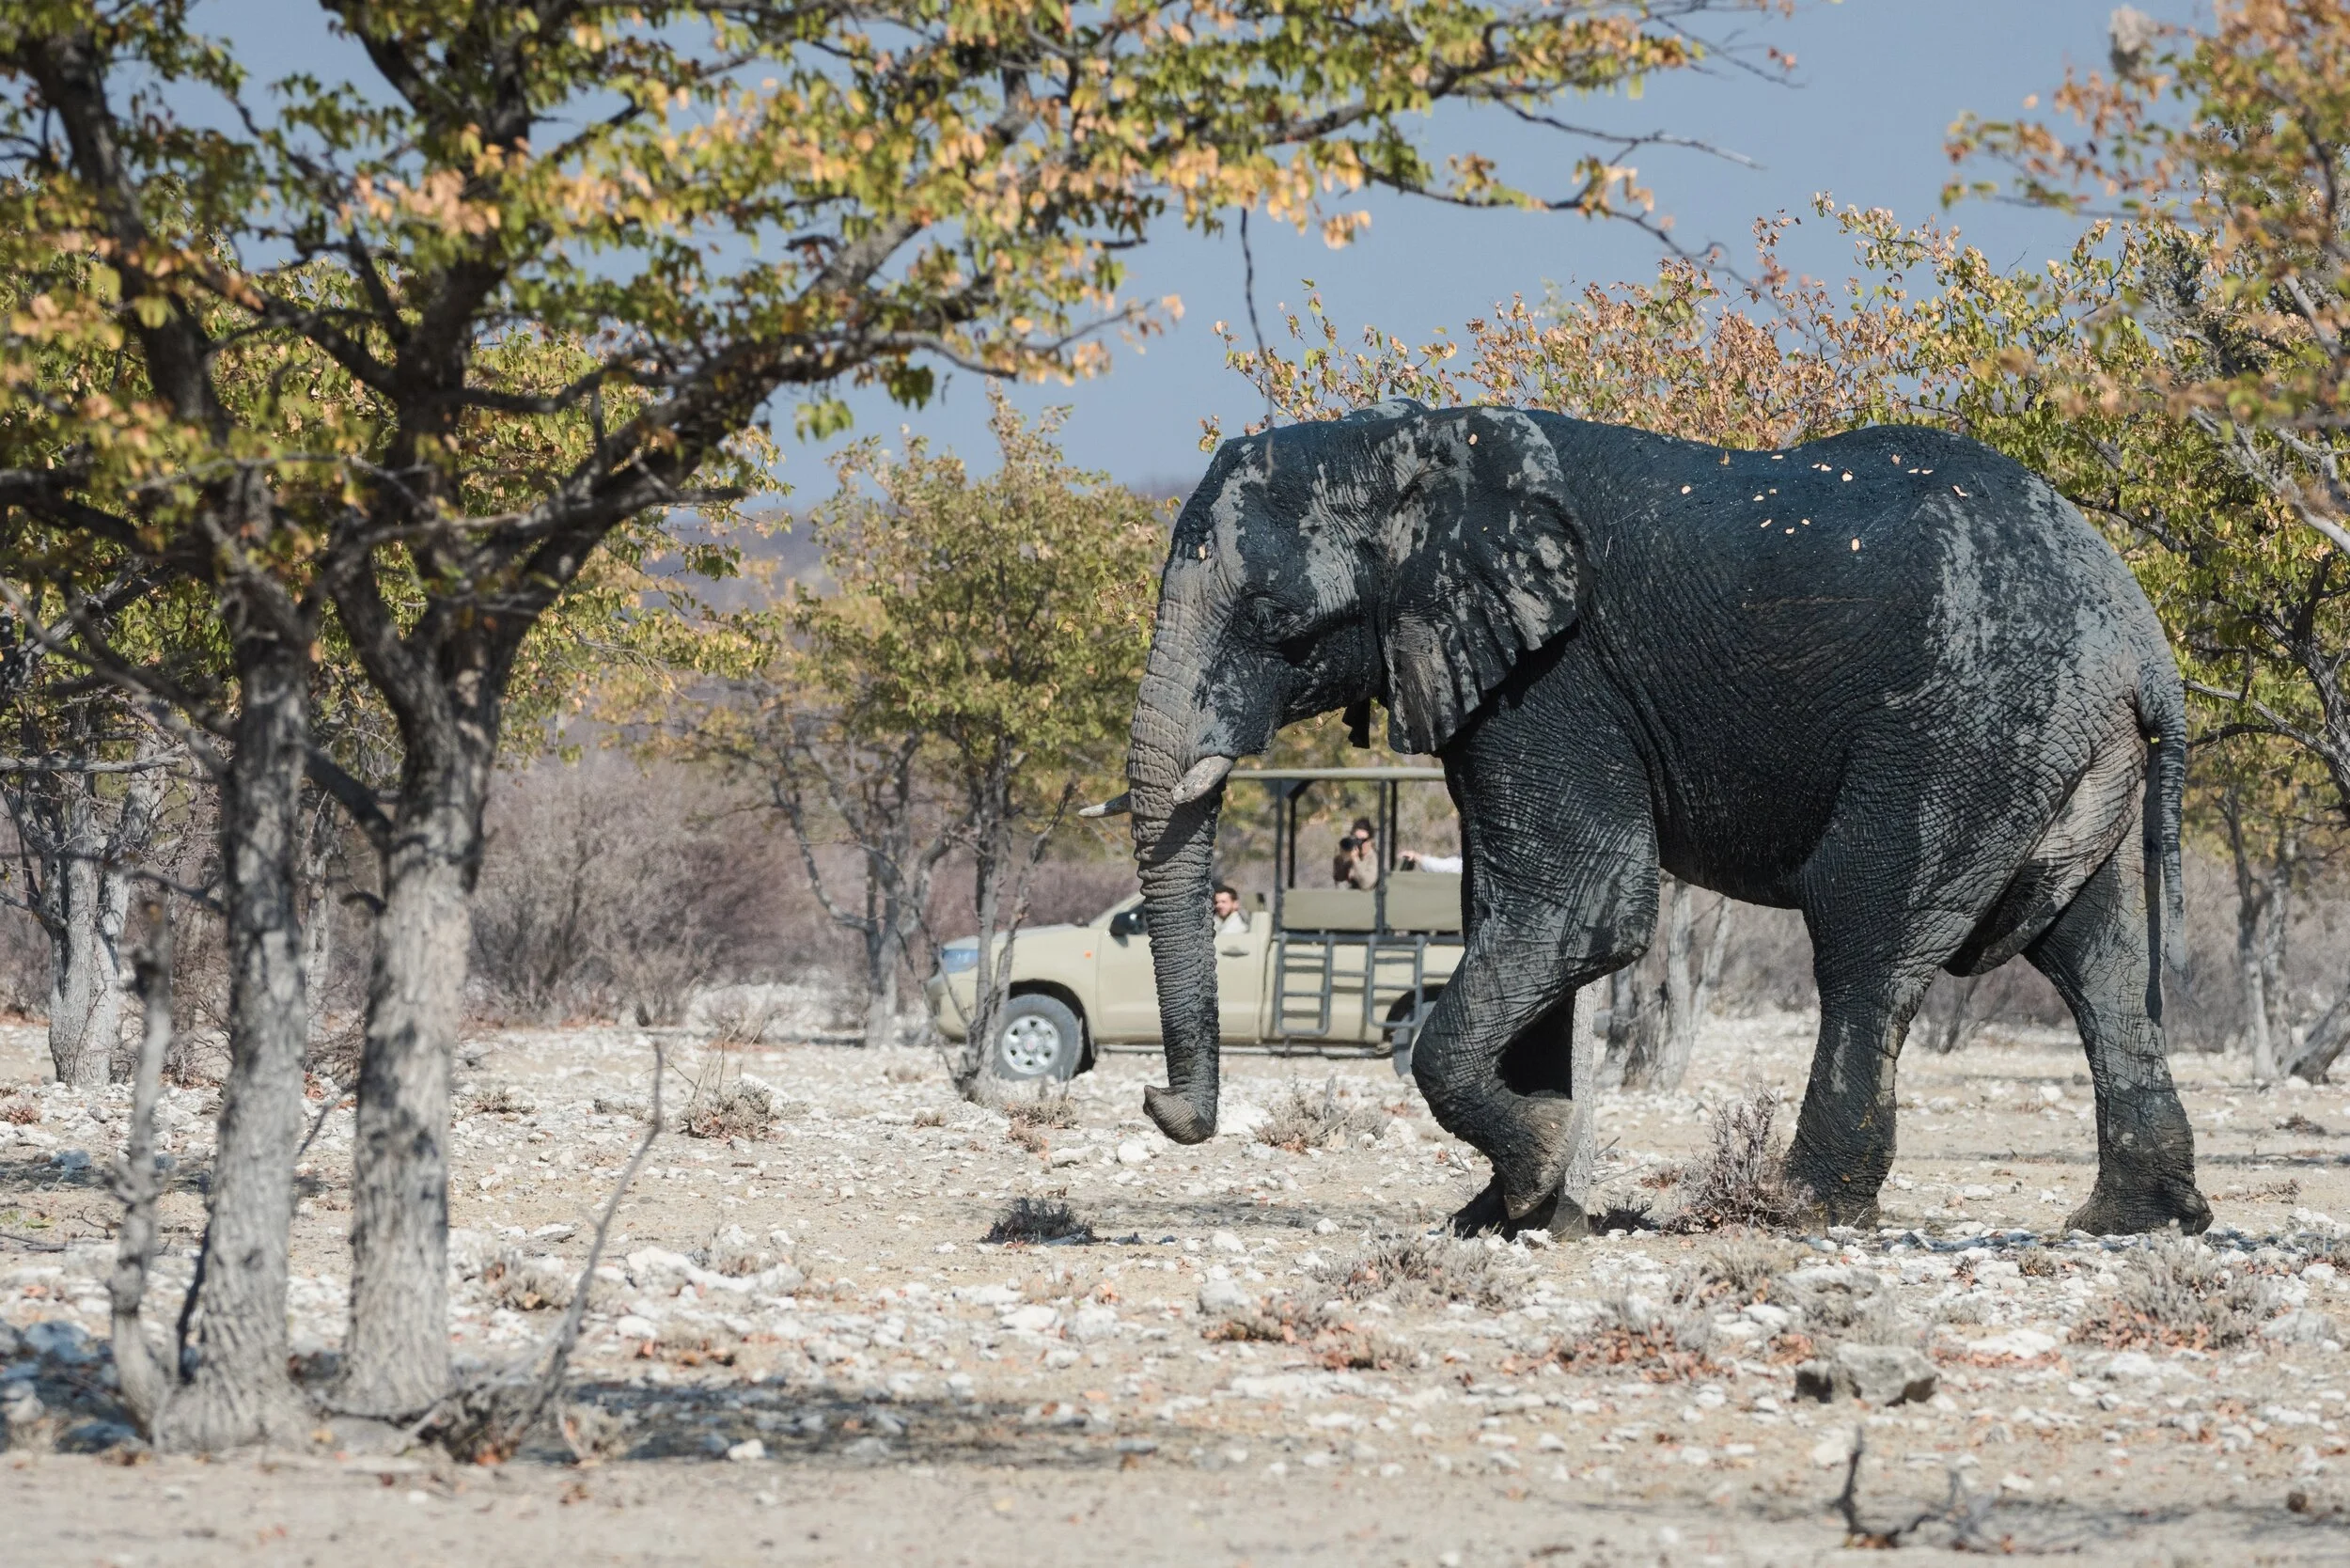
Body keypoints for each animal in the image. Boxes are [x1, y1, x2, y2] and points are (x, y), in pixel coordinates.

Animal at [1128, 401, 2209, 1241]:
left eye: (1274, 621)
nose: (1158, 1102)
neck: (1408, 442)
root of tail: (2141, 638)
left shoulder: (1556, 677)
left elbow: (1577, 908)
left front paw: (1537, 1172)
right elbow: (1514, 915)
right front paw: (1508, 1217)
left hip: (1965, 726)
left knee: (1868, 938)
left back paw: (1795, 1209)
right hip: (2062, 744)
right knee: (2097, 957)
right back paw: (2131, 1222)